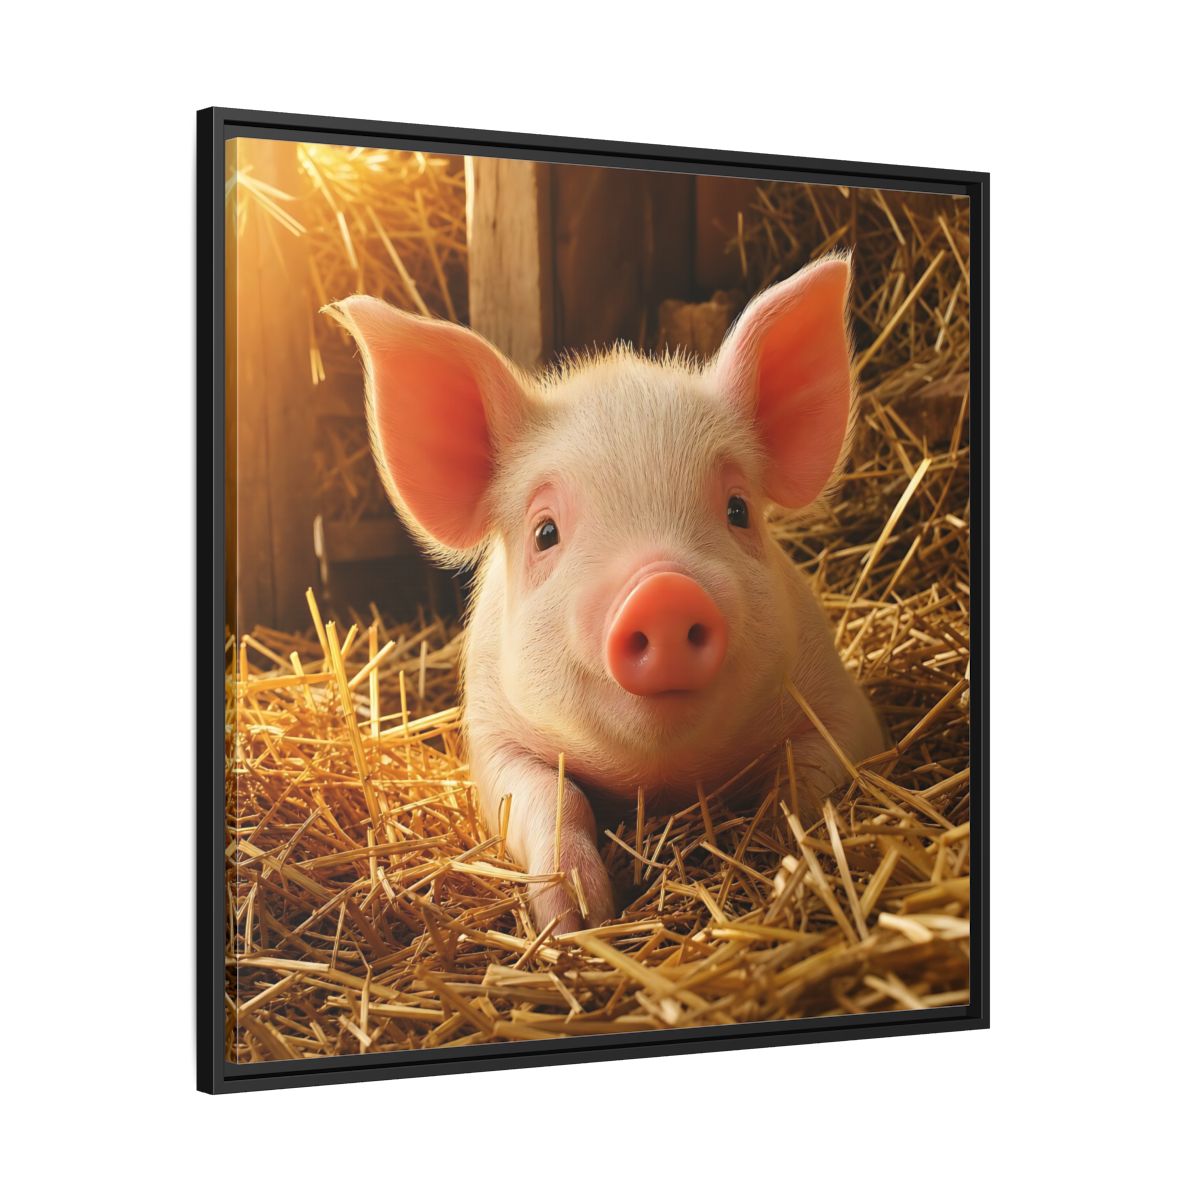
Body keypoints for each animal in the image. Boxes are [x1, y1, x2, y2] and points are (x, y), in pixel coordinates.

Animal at [327, 254, 884, 934]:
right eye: (545, 532)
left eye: (738, 509)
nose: (663, 592)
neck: (661, 779)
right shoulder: (491, 735)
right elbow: (551, 797)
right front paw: (577, 921)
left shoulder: (841, 704)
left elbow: (805, 777)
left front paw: (782, 855)